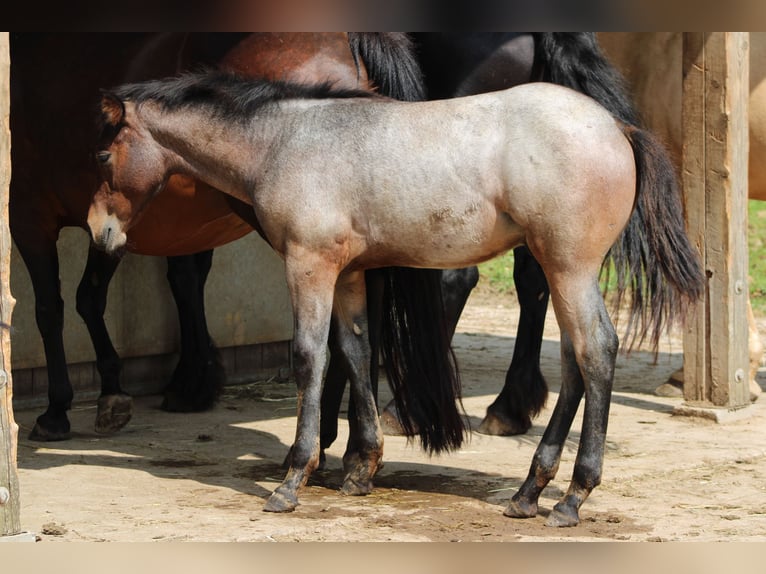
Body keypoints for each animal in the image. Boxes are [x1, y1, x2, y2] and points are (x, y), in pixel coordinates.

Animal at [7, 33, 426, 444]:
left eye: (103, 156)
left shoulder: (30, 219)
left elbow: (50, 309)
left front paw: (56, 411)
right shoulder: (118, 229)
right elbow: (98, 296)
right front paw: (121, 392)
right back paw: (354, 439)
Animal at [87, 71, 704, 528]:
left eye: (103, 157)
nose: (98, 231)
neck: (285, 142)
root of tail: (618, 125)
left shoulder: (309, 265)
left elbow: (309, 358)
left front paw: (293, 479)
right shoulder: (350, 274)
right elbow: (357, 353)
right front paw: (361, 472)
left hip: (569, 267)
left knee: (596, 352)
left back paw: (572, 498)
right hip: (562, 270)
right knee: (577, 361)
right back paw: (529, 491)